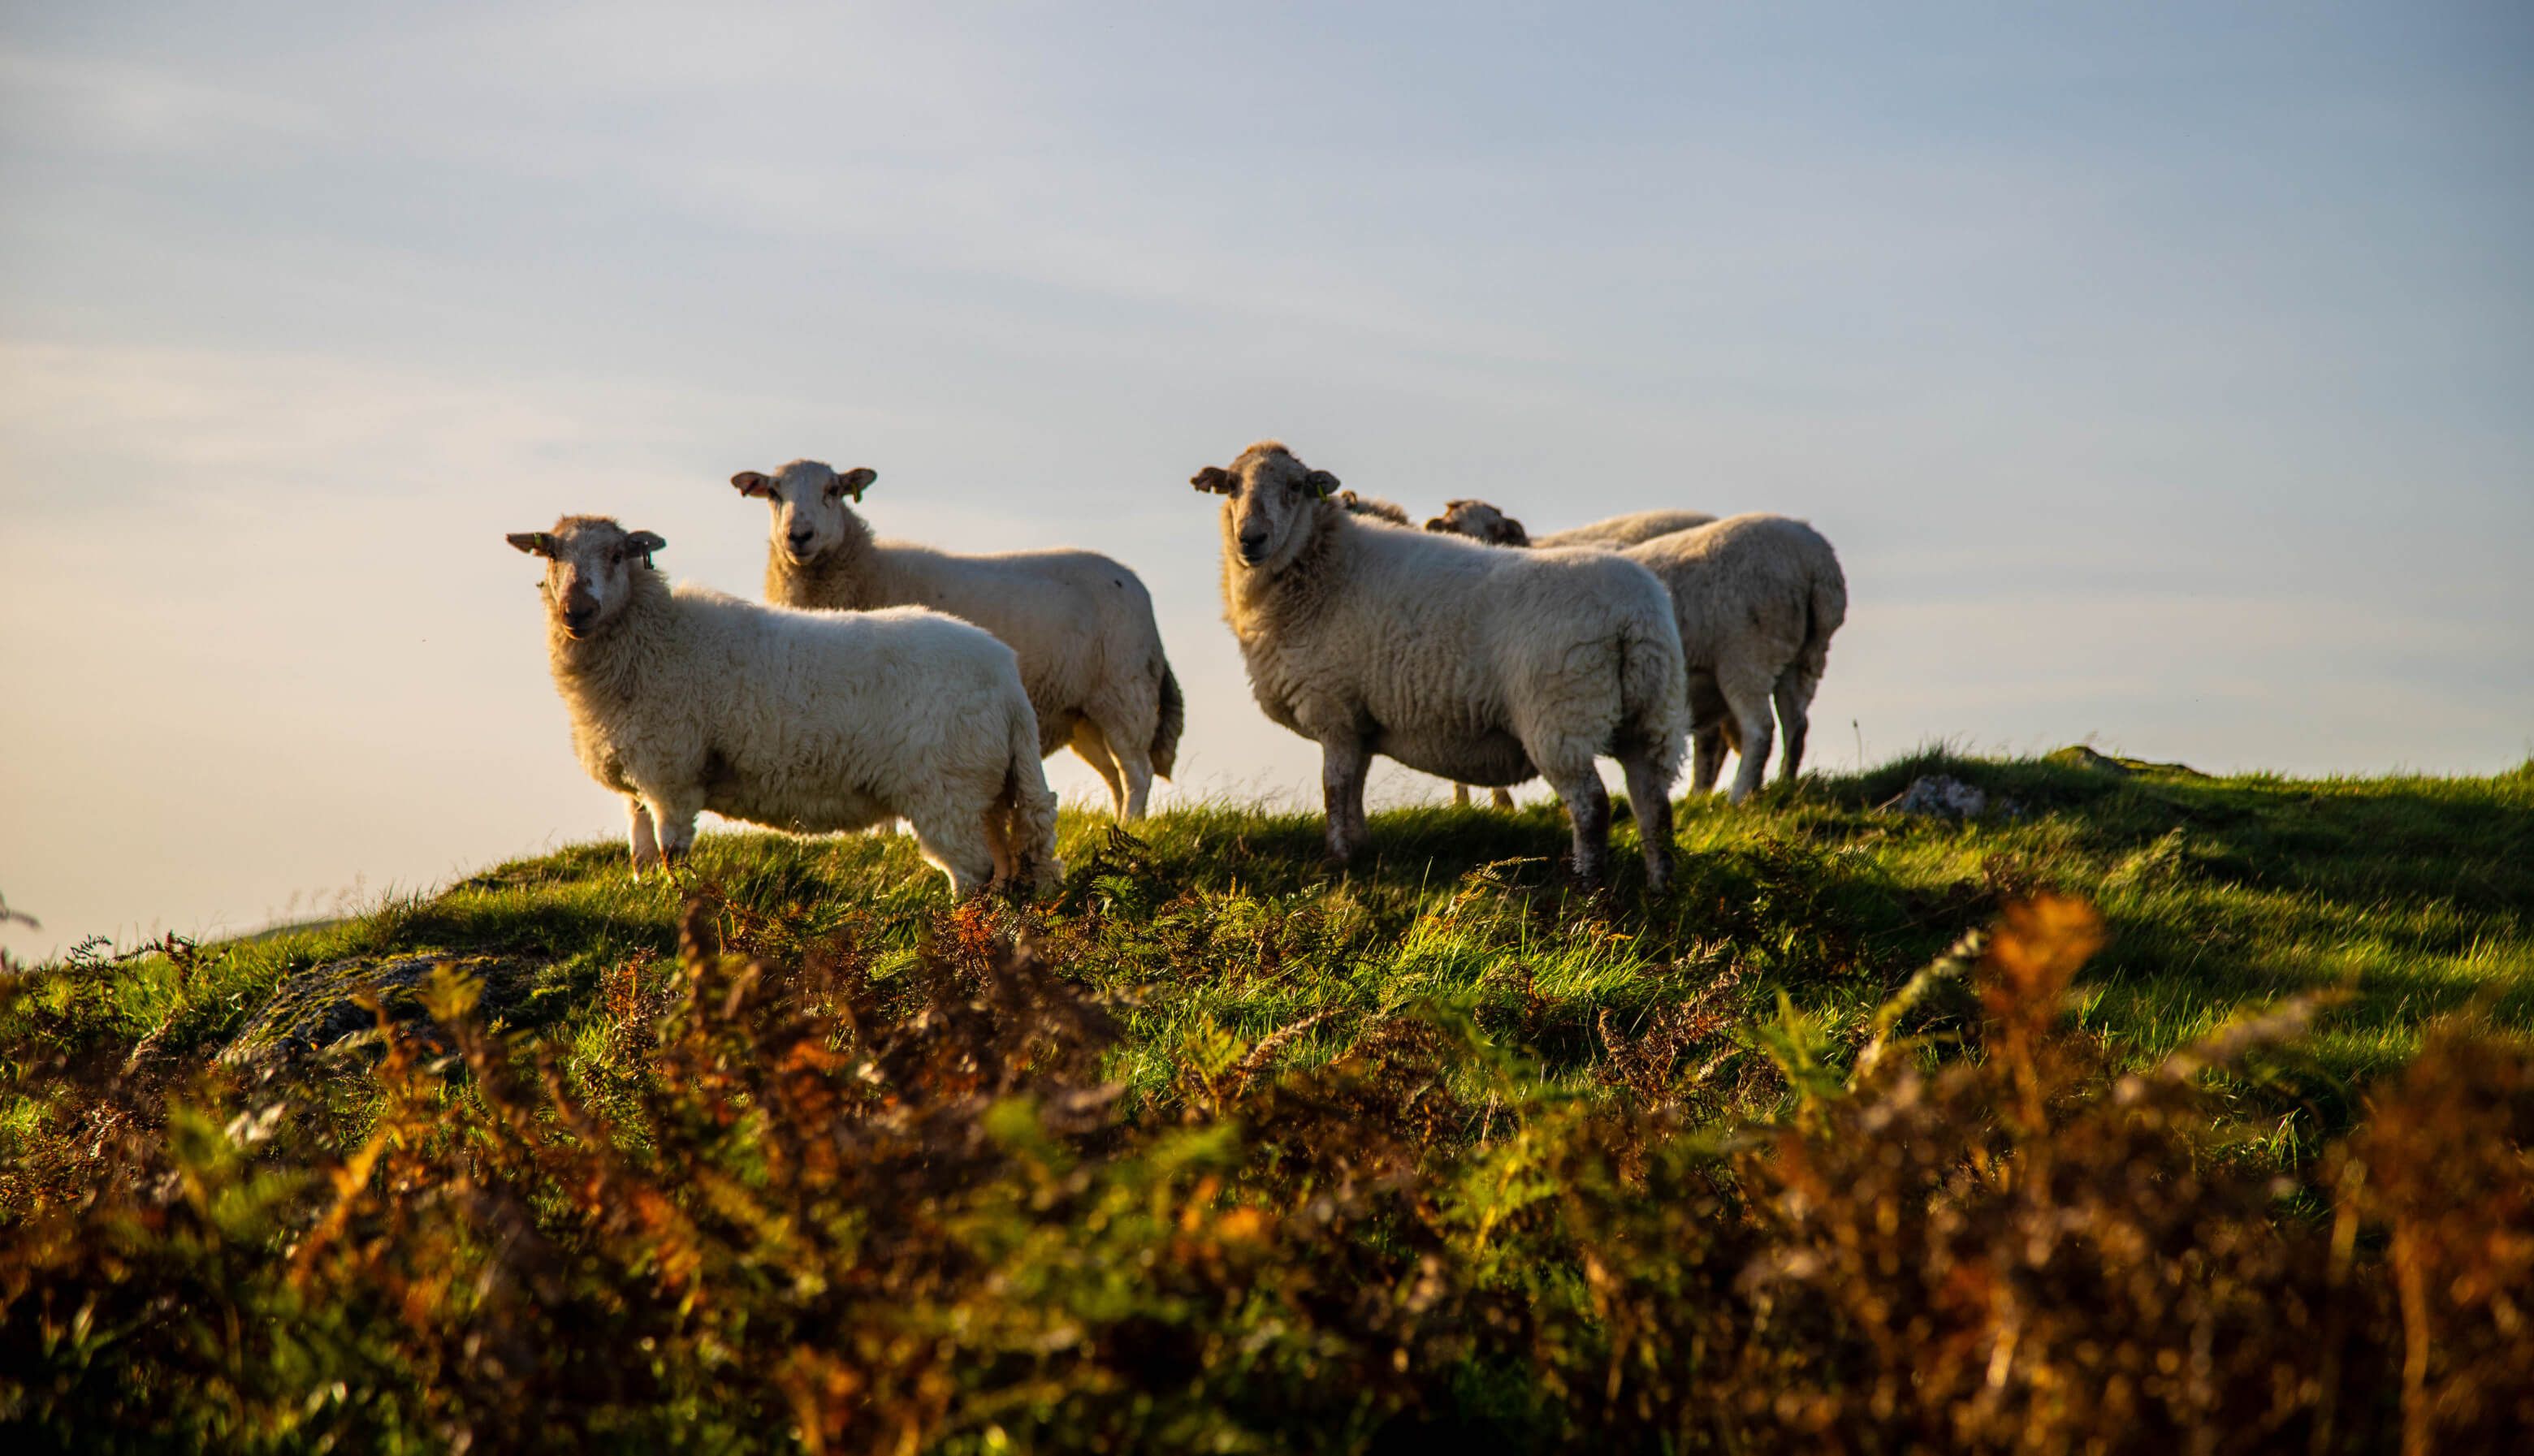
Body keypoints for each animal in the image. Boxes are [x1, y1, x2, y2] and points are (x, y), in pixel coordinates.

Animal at [507, 515, 1062, 899]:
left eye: (619, 554)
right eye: (551, 554)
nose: (577, 610)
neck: (654, 640)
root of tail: (1005, 675)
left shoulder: (672, 772)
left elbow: (672, 853)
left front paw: (677, 902)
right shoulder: (640, 774)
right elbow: (641, 851)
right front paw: (647, 895)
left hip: (946, 789)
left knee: (973, 873)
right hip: (986, 789)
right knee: (1002, 866)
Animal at [732, 459, 1181, 821]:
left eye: (832, 490)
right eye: (774, 492)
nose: (799, 535)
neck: (867, 568)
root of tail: (1135, 583)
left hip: (1123, 692)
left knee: (1136, 772)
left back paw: (1131, 827)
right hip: (1083, 715)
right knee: (1115, 777)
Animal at [1192, 441, 1688, 890]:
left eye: (1295, 487)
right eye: (1231, 486)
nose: (1251, 539)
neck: (1319, 565)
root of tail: (1634, 613)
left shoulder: (1333, 709)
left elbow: (1334, 788)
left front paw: (1337, 860)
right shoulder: (1361, 720)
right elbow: (1354, 789)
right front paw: (1360, 850)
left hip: (1562, 717)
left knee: (1592, 807)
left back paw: (1587, 890)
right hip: (1653, 715)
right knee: (1654, 807)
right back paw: (1660, 891)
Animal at [1427, 502, 1847, 804]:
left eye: (1497, 532)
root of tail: (1814, 560)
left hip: (1746, 654)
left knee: (1759, 730)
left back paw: (1738, 797)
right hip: (1804, 657)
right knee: (1794, 726)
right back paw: (1783, 789)